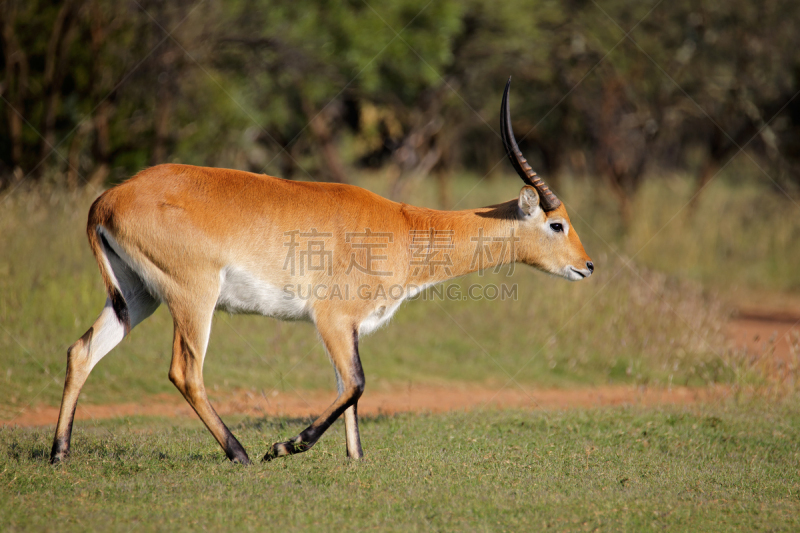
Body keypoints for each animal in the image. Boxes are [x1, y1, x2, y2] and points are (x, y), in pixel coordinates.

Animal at [48, 77, 588, 464]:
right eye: (556, 223)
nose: (587, 265)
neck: (403, 226)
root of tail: (108, 198)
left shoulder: (346, 328)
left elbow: (346, 387)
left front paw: (356, 458)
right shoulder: (331, 318)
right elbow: (356, 384)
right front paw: (284, 446)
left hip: (138, 295)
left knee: (82, 351)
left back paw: (59, 455)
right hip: (192, 298)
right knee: (186, 371)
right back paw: (242, 455)